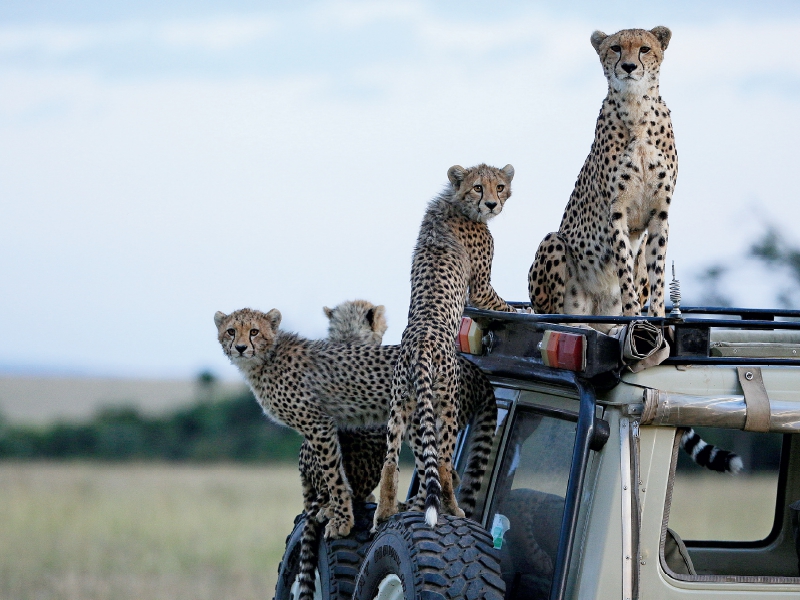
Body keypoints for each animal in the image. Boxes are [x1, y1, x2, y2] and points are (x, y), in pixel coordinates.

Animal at [374, 164, 516, 528]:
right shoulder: (481, 288)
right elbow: (507, 307)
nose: (492, 204)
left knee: (391, 462)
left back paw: (384, 513)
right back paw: (453, 510)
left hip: (401, 405)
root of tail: (421, 343)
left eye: (499, 186)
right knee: (442, 463)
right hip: (447, 405)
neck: (456, 203)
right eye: (479, 187)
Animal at [528, 27, 680, 328]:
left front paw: (657, 317)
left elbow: (657, 272)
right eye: (616, 48)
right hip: (554, 243)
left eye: (645, 48)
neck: (636, 109)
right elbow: (623, 269)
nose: (629, 66)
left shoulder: (660, 213)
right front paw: (634, 317)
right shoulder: (616, 211)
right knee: (553, 316)